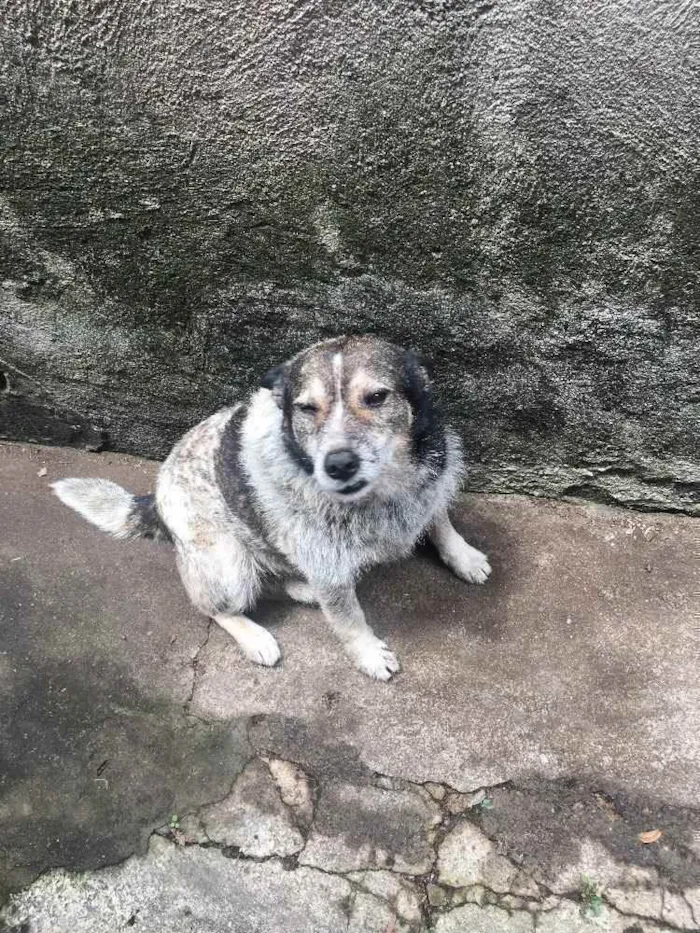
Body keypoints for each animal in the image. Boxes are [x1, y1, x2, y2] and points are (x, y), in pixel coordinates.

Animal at [52, 334, 492, 676]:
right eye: (307, 408)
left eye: (377, 397)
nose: (338, 464)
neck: (382, 492)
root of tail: (154, 501)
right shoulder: (327, 566)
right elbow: (349, 621)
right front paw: (368, 655)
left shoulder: (429, 488)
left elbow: (440, 521)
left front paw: (464, 557)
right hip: (227, 564)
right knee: (215, 607)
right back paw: (256, 637)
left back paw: (302, 588)